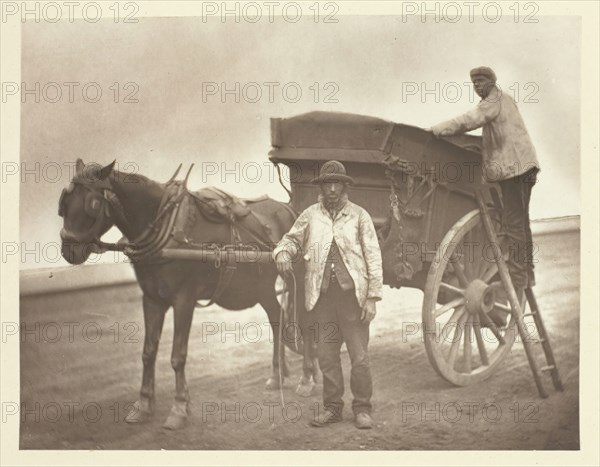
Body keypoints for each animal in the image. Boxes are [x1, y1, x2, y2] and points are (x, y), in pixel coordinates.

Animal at [57, 159, 318, 430]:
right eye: (64, 203)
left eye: (93, 203)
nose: (68, 249)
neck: (165, 225)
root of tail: (290, 209)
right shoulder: (152, 299)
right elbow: (148, 353)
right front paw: (143, 404)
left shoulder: (184, 299)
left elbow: (177, 356)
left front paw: (180, 407)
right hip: (262, 286)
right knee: (277, 318)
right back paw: (278, 375)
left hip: (296, 278)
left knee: (305, 321)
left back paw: (307, 377)